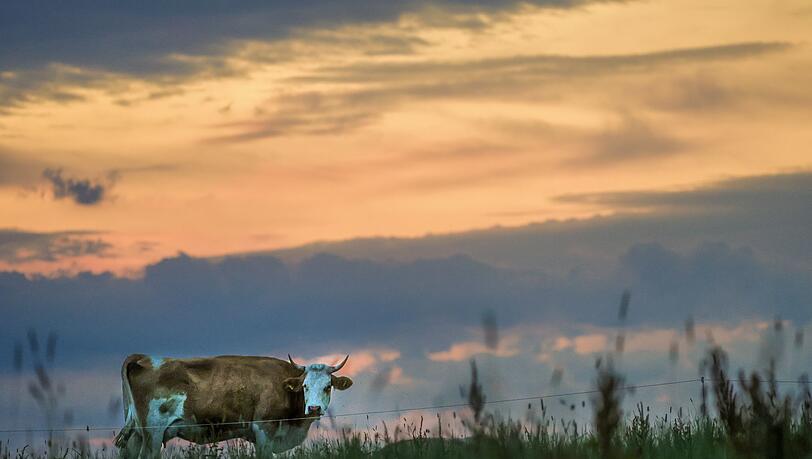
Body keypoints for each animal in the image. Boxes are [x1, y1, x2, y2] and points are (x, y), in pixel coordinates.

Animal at [113, 354, 353, 458]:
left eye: (328, 386)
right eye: (305, 386)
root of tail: (144, 358)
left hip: (136, 434)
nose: (314, 409)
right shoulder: (263, 429)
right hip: (152, 434)